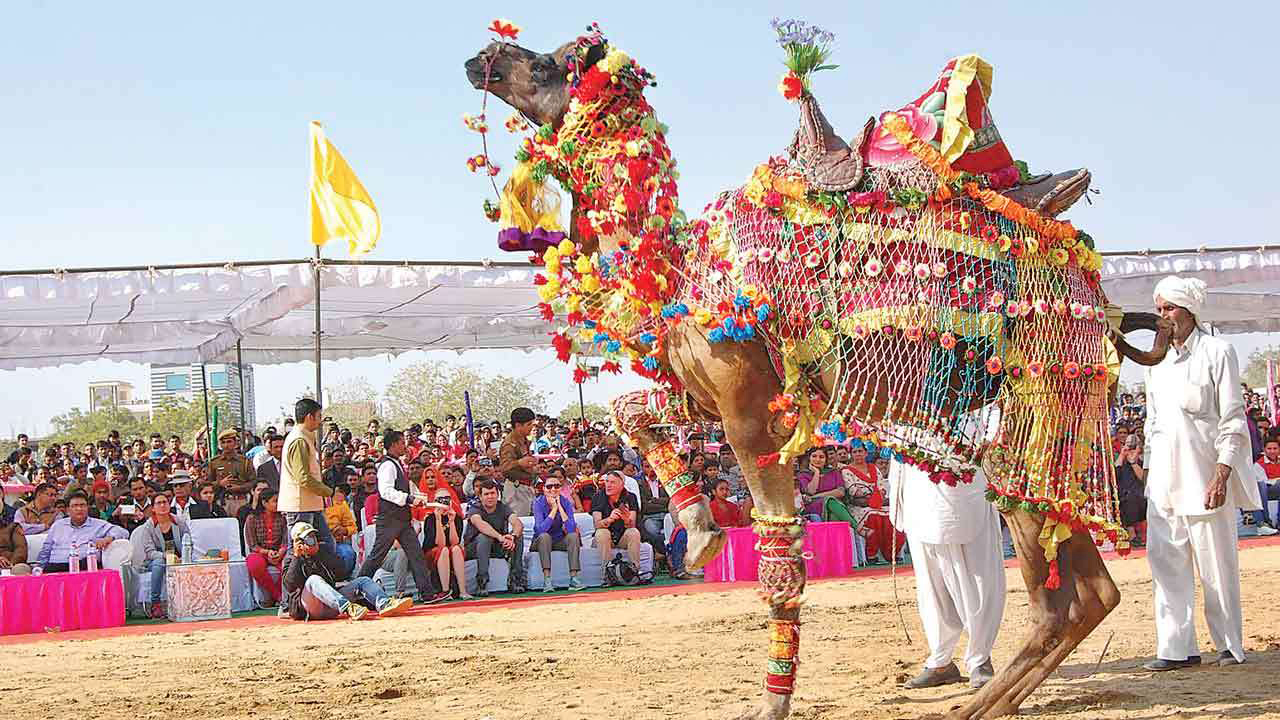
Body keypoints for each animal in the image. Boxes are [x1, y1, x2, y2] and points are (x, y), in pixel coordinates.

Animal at [463, 19, 1172, 712]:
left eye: (551, 63)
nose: (482, 56)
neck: (678, 270)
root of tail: (1101, 297)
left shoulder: (750, 414)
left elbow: (780, 561)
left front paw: (769, 703)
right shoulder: (711, 394)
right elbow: (628, 409)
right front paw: (700, 530)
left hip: (1042, 409)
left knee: (1069, 590)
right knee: (1085, 593)